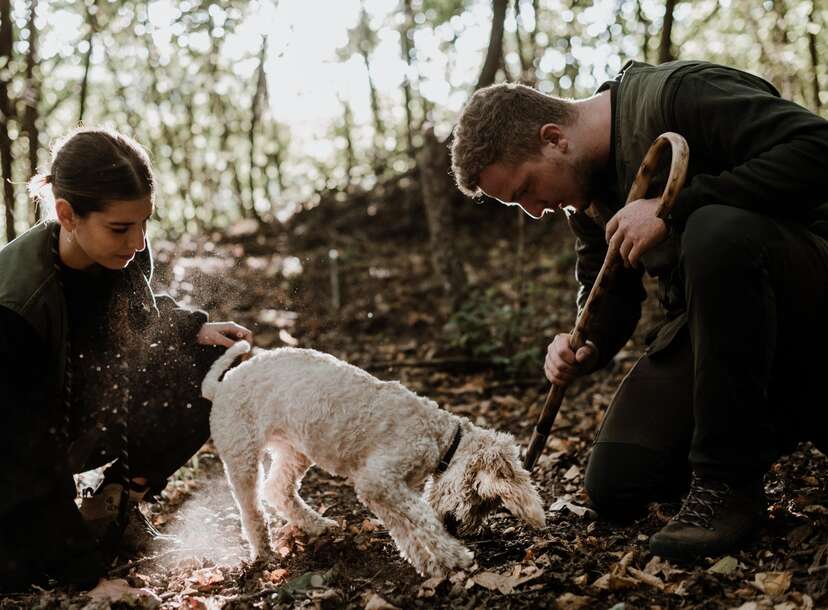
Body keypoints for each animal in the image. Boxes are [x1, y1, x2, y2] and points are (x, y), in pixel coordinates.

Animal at [204, 342, 548, 576]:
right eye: (479, 499)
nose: (460, 527)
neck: (440, 437)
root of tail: (220, 386)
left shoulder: (381, 492)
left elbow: (405, 530)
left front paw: (430, 563)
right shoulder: (379, 481)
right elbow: (422, 516)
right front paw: (454, 555)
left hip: (295, 451)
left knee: (278, 490)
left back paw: (317, 525)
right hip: (243, 457)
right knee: (252, 512)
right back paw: (265, 552)